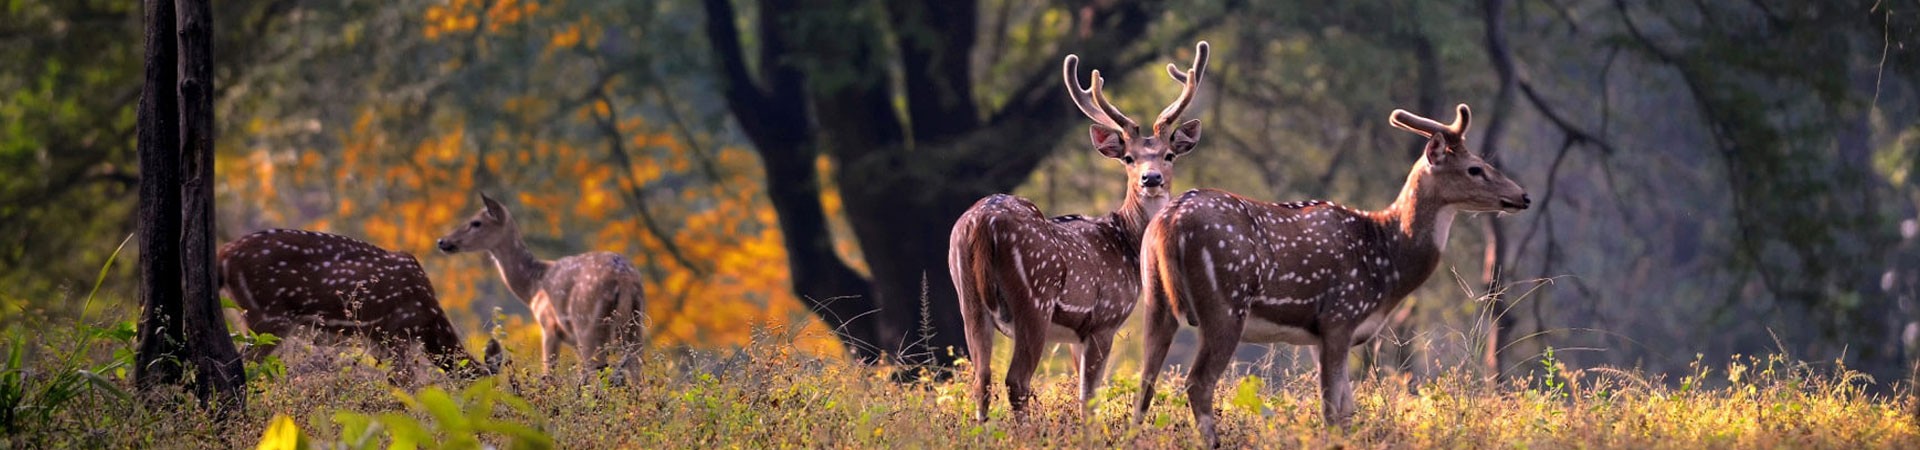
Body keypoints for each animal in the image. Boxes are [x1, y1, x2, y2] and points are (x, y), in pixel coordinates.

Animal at [217, 228, 503, 378]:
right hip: (269, 314)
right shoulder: (397, 331)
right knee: (242, 362)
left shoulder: (378, 340)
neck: (428, 323)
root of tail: (225, 254)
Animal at [435, 192, 645, 382]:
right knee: (636, 372)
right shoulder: (572, 340)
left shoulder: (549, 326)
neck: (533, 286)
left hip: (588, 324)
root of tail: (624, 278)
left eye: (476, 222)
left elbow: (549, 376)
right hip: (634, 325)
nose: (442, 241)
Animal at [948, 40, 1205, 419]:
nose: (1151, 178)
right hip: (1034, 300)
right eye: (1128, 158)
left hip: (967, 297)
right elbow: (1089, 398)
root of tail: (981, 222)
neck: (1126, 243)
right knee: (1016, 380)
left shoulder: (1074, 336)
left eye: (1169, 154)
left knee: (981, 379)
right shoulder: (1104, 319)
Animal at [1136, 105, 1528, 446]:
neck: (1387, 262)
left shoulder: (1320, 333)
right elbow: (1332, 409)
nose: (1523, 195)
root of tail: (1169, 222)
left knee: (1146, 379)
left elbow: (1347, 407)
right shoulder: (1340, 316)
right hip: (1225, 303)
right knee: (1198, 382)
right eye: (1475, 168)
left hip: (1156, 298)